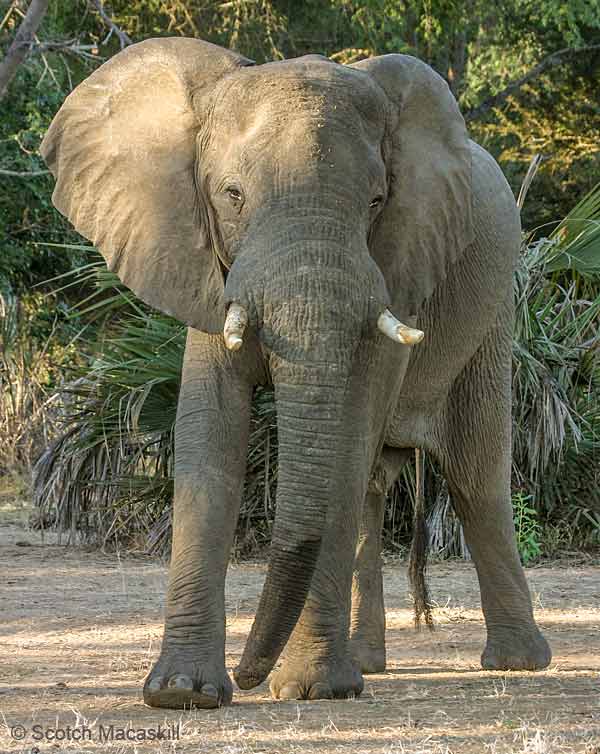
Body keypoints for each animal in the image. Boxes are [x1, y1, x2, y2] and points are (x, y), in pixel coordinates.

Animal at [39, 36, 552, 704]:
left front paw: (309, 689)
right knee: (375, 486)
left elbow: (350, 431)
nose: (247, 675)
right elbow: (208, 434)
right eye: (232, 195)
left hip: (493, 310)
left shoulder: (394, 268)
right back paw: (367, 663)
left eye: (376, 201)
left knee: (474, 471)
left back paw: (516, 662)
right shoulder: (206, 267)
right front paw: (184, 693)